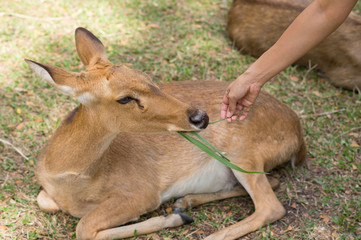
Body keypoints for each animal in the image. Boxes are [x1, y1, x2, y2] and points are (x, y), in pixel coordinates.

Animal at [26, 27, 306, 239]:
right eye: (125, 98)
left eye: (146, 76)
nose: (200, 117)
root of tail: (298, 135)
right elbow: (46, 202)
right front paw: (177, 214)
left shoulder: (142, 191)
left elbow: (84, 228)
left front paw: (170, 219)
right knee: (273, 183)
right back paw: (185, 203)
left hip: (243, 152)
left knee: (271, 206)